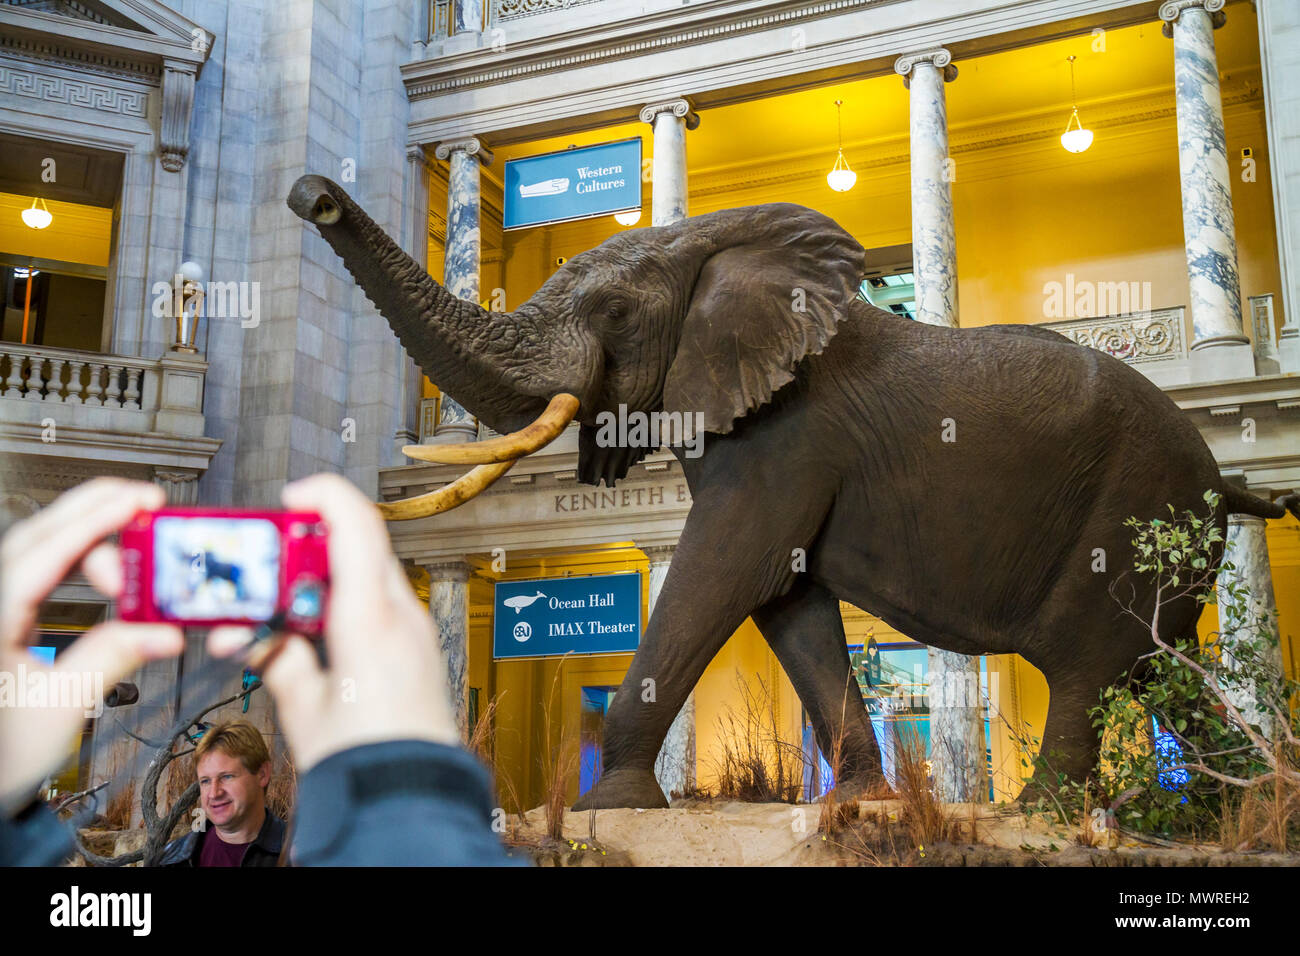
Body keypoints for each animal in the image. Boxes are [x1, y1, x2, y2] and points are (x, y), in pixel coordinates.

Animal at [289, 174, 1294, 806]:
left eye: (613, 312)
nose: (311, 195)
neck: (703, 242)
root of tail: (1223, 479)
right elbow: (789, 606)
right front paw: (866, 804)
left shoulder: (790, 438)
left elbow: (722, 575)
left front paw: (612, 809)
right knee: (1163, 667)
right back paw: (1238, 808)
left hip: (1133, 502)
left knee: (1092, 668)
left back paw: (1044, 816)